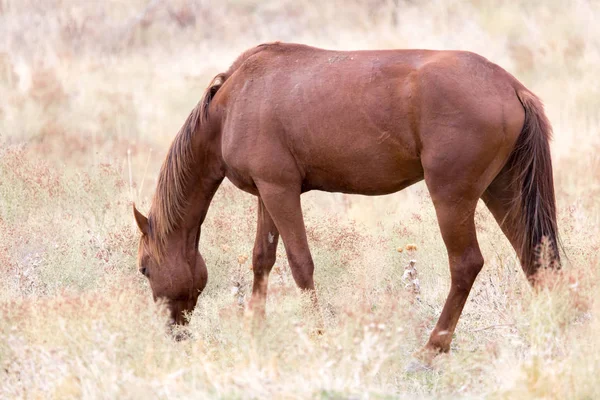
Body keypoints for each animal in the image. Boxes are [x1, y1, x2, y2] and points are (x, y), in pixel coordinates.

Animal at [134, 42, 560, 364]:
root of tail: (509, 85)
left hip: (452, 199)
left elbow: (300, 265)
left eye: (143, 269)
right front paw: (256, 328)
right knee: (537, 262)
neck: (231, 103)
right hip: (503, 191)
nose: (171, 332)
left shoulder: (280, 190)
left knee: (466, 265)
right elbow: (262, 259)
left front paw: (319, 333)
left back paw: (431, 349)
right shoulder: (266, 193)